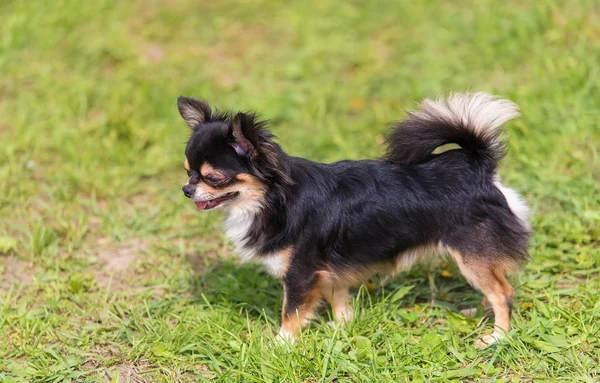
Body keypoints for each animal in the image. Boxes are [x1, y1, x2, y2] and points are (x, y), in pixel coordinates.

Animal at [178, 92, 528, 348]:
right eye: (188, 171)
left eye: (214, 178)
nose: (186, 189)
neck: (273, 200)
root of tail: (477, 167)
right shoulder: (330, 269)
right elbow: (339, 301)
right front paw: (340, 329)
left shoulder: (301, 274)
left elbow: (290, 312)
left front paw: (281, 345)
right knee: (495, 286)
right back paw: (477, 311)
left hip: (470, 254)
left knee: (503, 293)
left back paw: (497, 337)